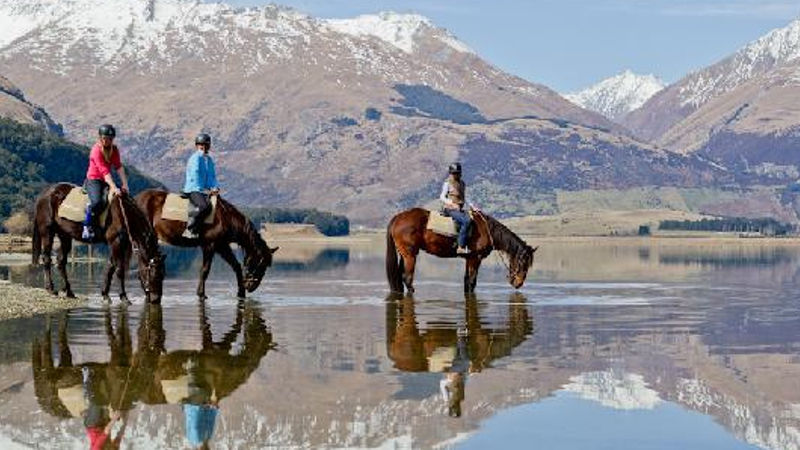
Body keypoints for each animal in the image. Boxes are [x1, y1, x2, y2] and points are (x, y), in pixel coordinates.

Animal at [32, 182, 166, 302]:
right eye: (155, 274)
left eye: (163, 275)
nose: (156, 300)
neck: (123, 214)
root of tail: (45, 194)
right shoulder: (116, 242)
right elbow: (119, 269)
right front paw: (123, 297)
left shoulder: (117, 243)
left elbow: (110, 267)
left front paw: (105, 294)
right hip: (47, 231)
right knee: (47, 258)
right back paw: (50, 289)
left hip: (65, 235)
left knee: (61, 262)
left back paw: (69, 292)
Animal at [134, 190, 278, 298]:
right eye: (261, 264)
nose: (251, 287)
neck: (226, 218)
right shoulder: (210, 245)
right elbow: (205, 270)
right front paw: (201, 294)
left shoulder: (222, 246)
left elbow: (236, 266)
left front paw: (241, 293)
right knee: (143, 263)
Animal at [386, 208, 536, 294]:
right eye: (523, 263)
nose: (518, 283)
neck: (487, 231)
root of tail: (397, 218)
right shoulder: (476, 258)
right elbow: (472, 282)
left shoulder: (469, 258)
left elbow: (467, 281)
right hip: (410, 255)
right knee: (407, 278)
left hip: (404, 255)